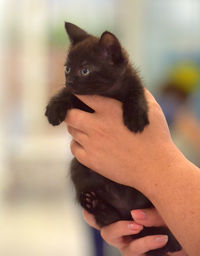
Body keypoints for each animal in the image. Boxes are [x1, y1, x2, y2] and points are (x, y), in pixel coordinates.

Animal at [45, 22, 181, 256]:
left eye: (85, 70)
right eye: (67, 68)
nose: (69, 81)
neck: (107, 93)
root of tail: (127, 208)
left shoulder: (134, 83)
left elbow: (136, 96)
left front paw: (136, 118)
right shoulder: (81, 99)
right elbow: (68, 95)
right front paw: (54, 108)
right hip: (77, 166)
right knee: (107, 219)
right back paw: (95, 205)